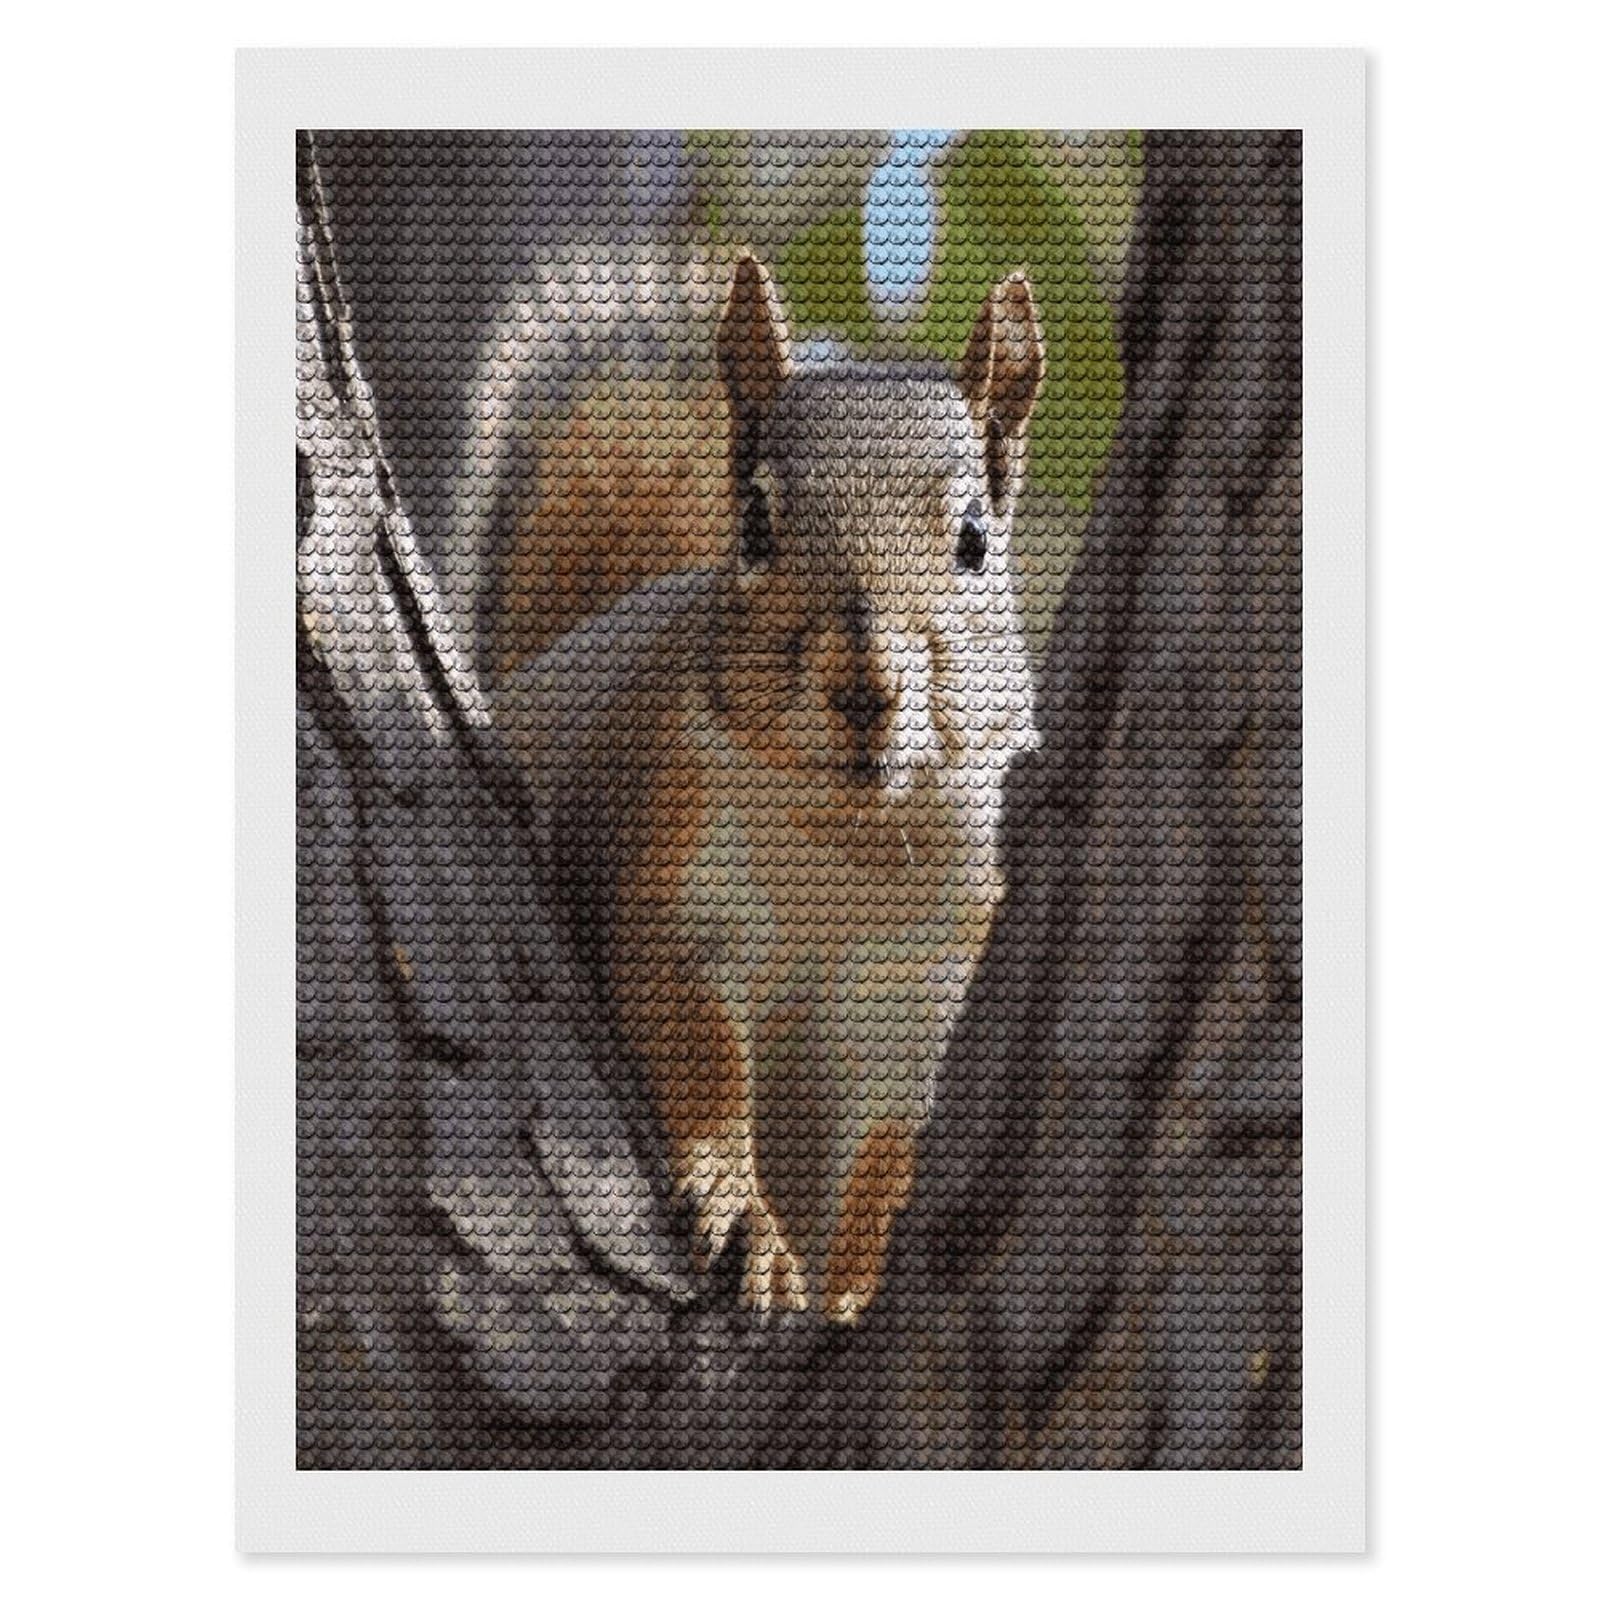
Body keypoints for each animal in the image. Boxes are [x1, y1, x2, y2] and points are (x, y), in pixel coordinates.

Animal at [502, 254, 1045, 1323]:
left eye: (974, 540)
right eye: (754, 525)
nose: (864, 685)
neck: (853, 841)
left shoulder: (921, 998)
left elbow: (884, 1166)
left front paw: (855, 1291)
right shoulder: (679, 883)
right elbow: (699, 1050)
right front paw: (744, 1216)